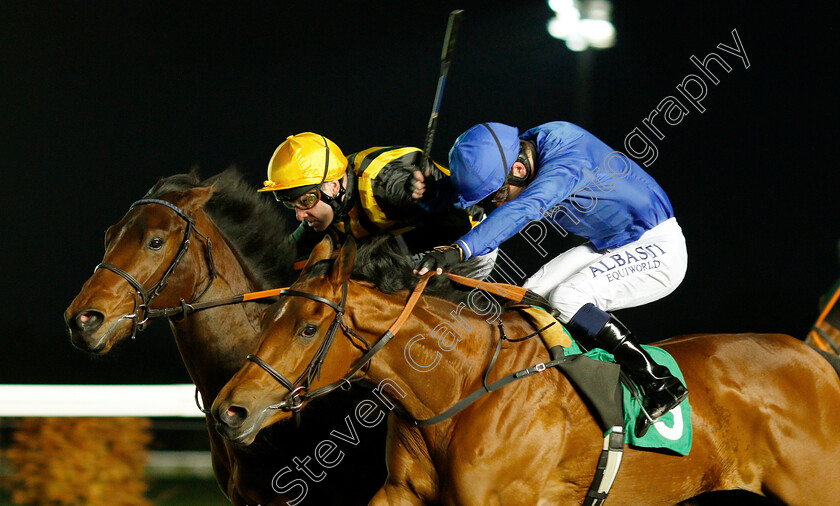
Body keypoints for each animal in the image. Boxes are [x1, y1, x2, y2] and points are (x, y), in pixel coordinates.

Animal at [212, 235, 840, 504]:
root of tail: (815, 358)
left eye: (308, 327)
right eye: (270, 314)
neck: (462, 387)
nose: (228, 410)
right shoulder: (402, 494)